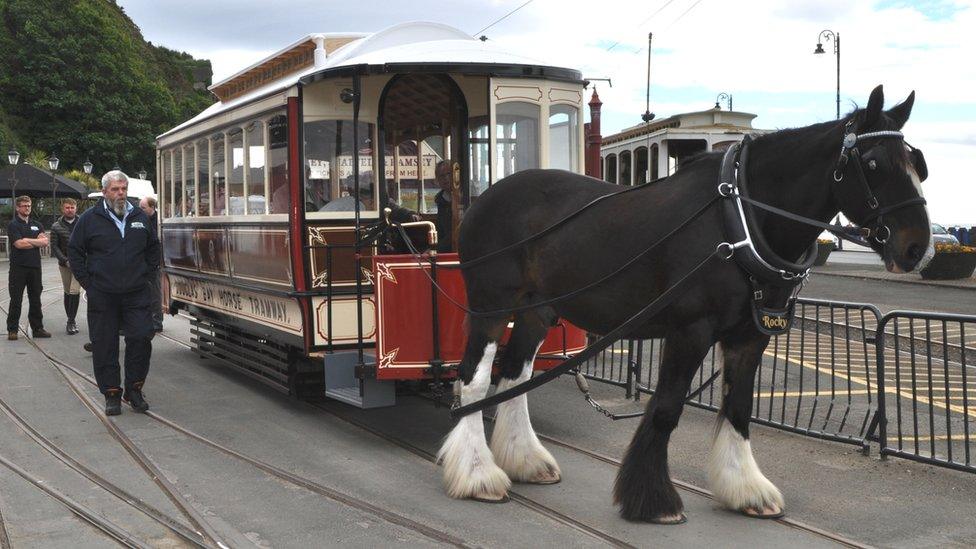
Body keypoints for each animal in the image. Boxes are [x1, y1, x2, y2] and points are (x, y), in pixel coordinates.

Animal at [438, 85, 936, 524]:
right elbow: (666, 409)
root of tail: (489, 195)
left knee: (514, 373)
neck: (739, 221)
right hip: (491, 307)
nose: (917, 248)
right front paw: (653, 500)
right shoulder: (691, 330)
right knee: (474, 379)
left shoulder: (749, 336)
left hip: (537, 311)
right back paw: (478, 475)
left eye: (917, 163)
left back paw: (524, 460)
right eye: (873, 162)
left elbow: (739, 408)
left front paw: (745, 489)